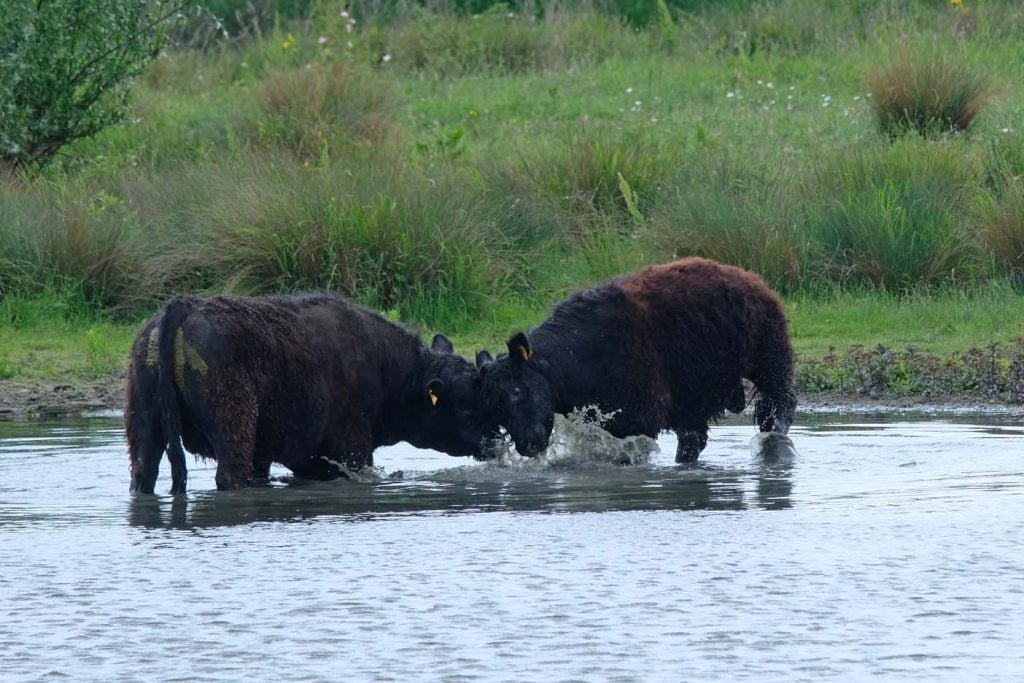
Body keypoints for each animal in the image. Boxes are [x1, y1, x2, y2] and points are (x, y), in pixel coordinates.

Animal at [123, 290, 483, 493]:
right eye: (465, 405)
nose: (490, 440)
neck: (388, 368)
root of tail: (184, 306)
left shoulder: (273, 455)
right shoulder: (351, 452)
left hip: (145, 426)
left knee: (143, 473)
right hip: (233, 427)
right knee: (230, 475)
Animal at [475, 258, 794, 464]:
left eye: (517, 391)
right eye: (494, 406)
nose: (528, 444)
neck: (571, 360)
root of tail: (751, 279)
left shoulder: (639, 419)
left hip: (770, 360)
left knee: (779, 407)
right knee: (693, 440)